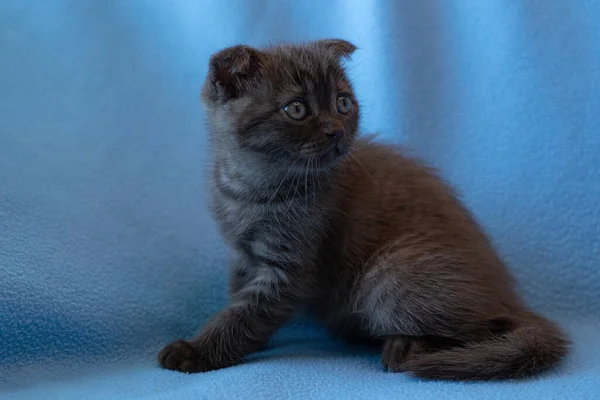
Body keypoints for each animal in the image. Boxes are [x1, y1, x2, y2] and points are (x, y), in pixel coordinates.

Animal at [159, 39, 572, 380]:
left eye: (343, 103)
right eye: (297, 109)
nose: (336, 130)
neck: (251, 188)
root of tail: (511, 297)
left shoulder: (290, 268)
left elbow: (245, 314)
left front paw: (196, 351)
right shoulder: (242, 255)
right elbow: (239, 301)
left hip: (389, 275)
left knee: (488, 325)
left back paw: (408, 346)